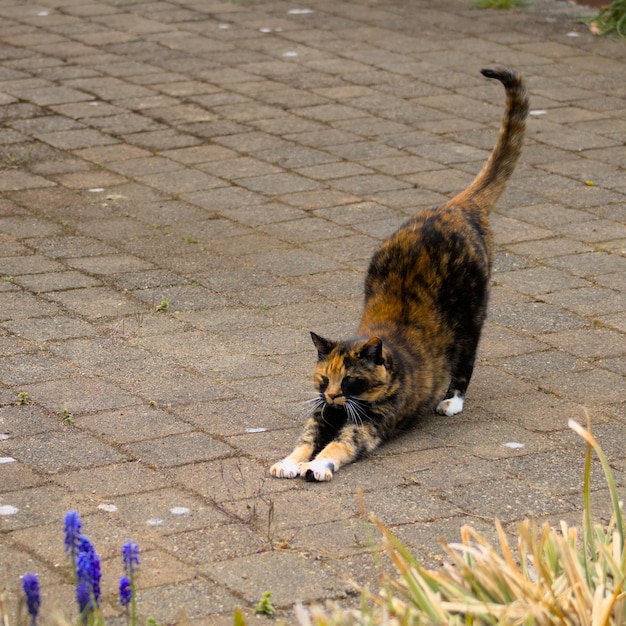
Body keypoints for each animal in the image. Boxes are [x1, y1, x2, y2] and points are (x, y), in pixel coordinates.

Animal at [268, 66, 528, 480]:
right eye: (324, 379)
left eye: (351, 381)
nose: (332, 395)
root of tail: (456, 205)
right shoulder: (319, 414)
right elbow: (305, 439)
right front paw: (291, 462)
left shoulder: (369, 425)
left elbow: (340, 445)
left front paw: (319, 465)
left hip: (472, 313)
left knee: (466, 359)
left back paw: (452, 402)